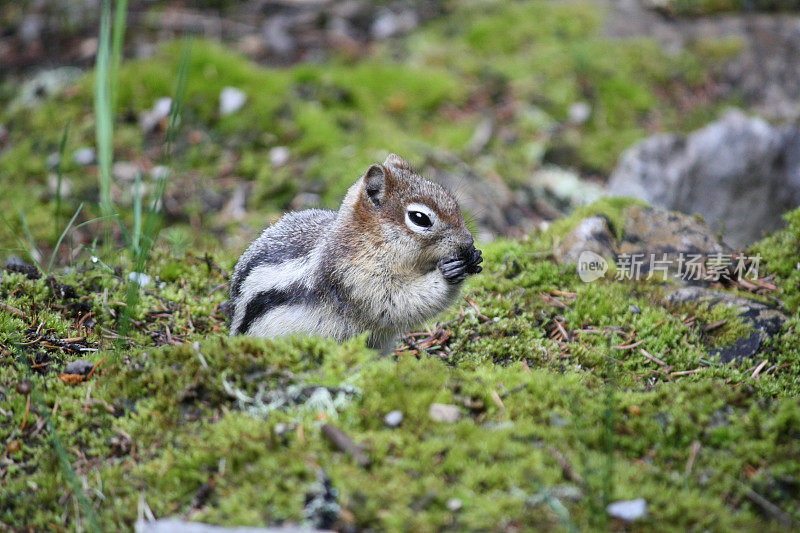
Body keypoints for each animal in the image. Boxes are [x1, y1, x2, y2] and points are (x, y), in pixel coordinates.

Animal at [228, 154, 484, 352]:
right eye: (419, 218)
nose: (468, 241)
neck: (366, 239)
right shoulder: (355, 279)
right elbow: (397, 302)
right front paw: (448, 272)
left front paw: (474, 257)